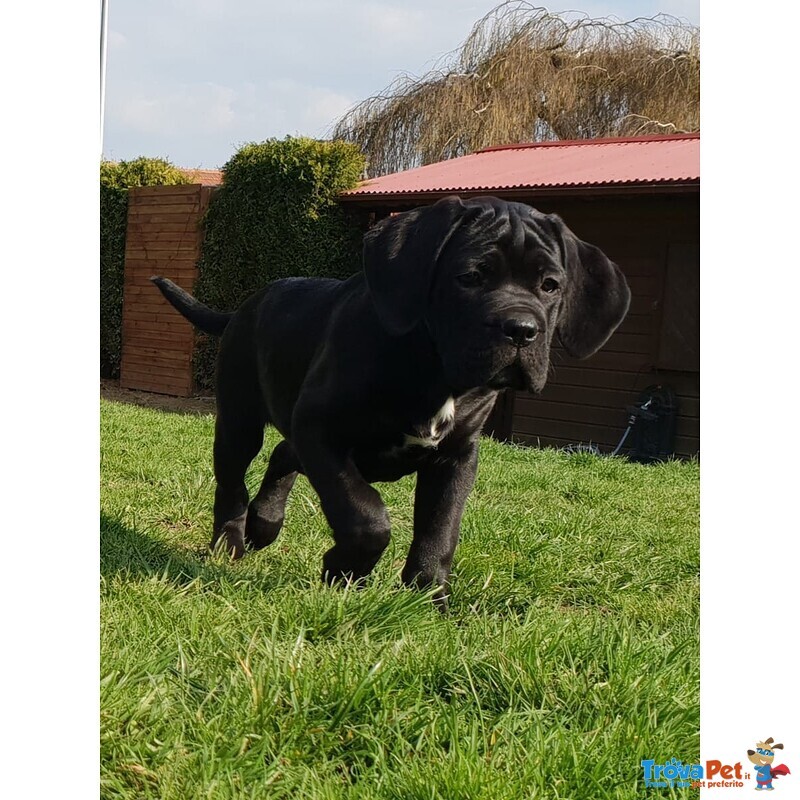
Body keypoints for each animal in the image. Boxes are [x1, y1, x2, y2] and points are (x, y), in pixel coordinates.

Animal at [152, 194, 632, 608]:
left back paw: (264, 523)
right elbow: (366, 516)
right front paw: (344, 571)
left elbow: (439, 531)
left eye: (550, 285)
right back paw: (231, 540)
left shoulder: (456, 456)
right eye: (470, 277)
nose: (522, 330)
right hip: (240, 420)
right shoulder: (320, 429)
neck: (434, 370)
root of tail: (241, 308)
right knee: (234, 481)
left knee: (284, 454)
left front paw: (428, 601)